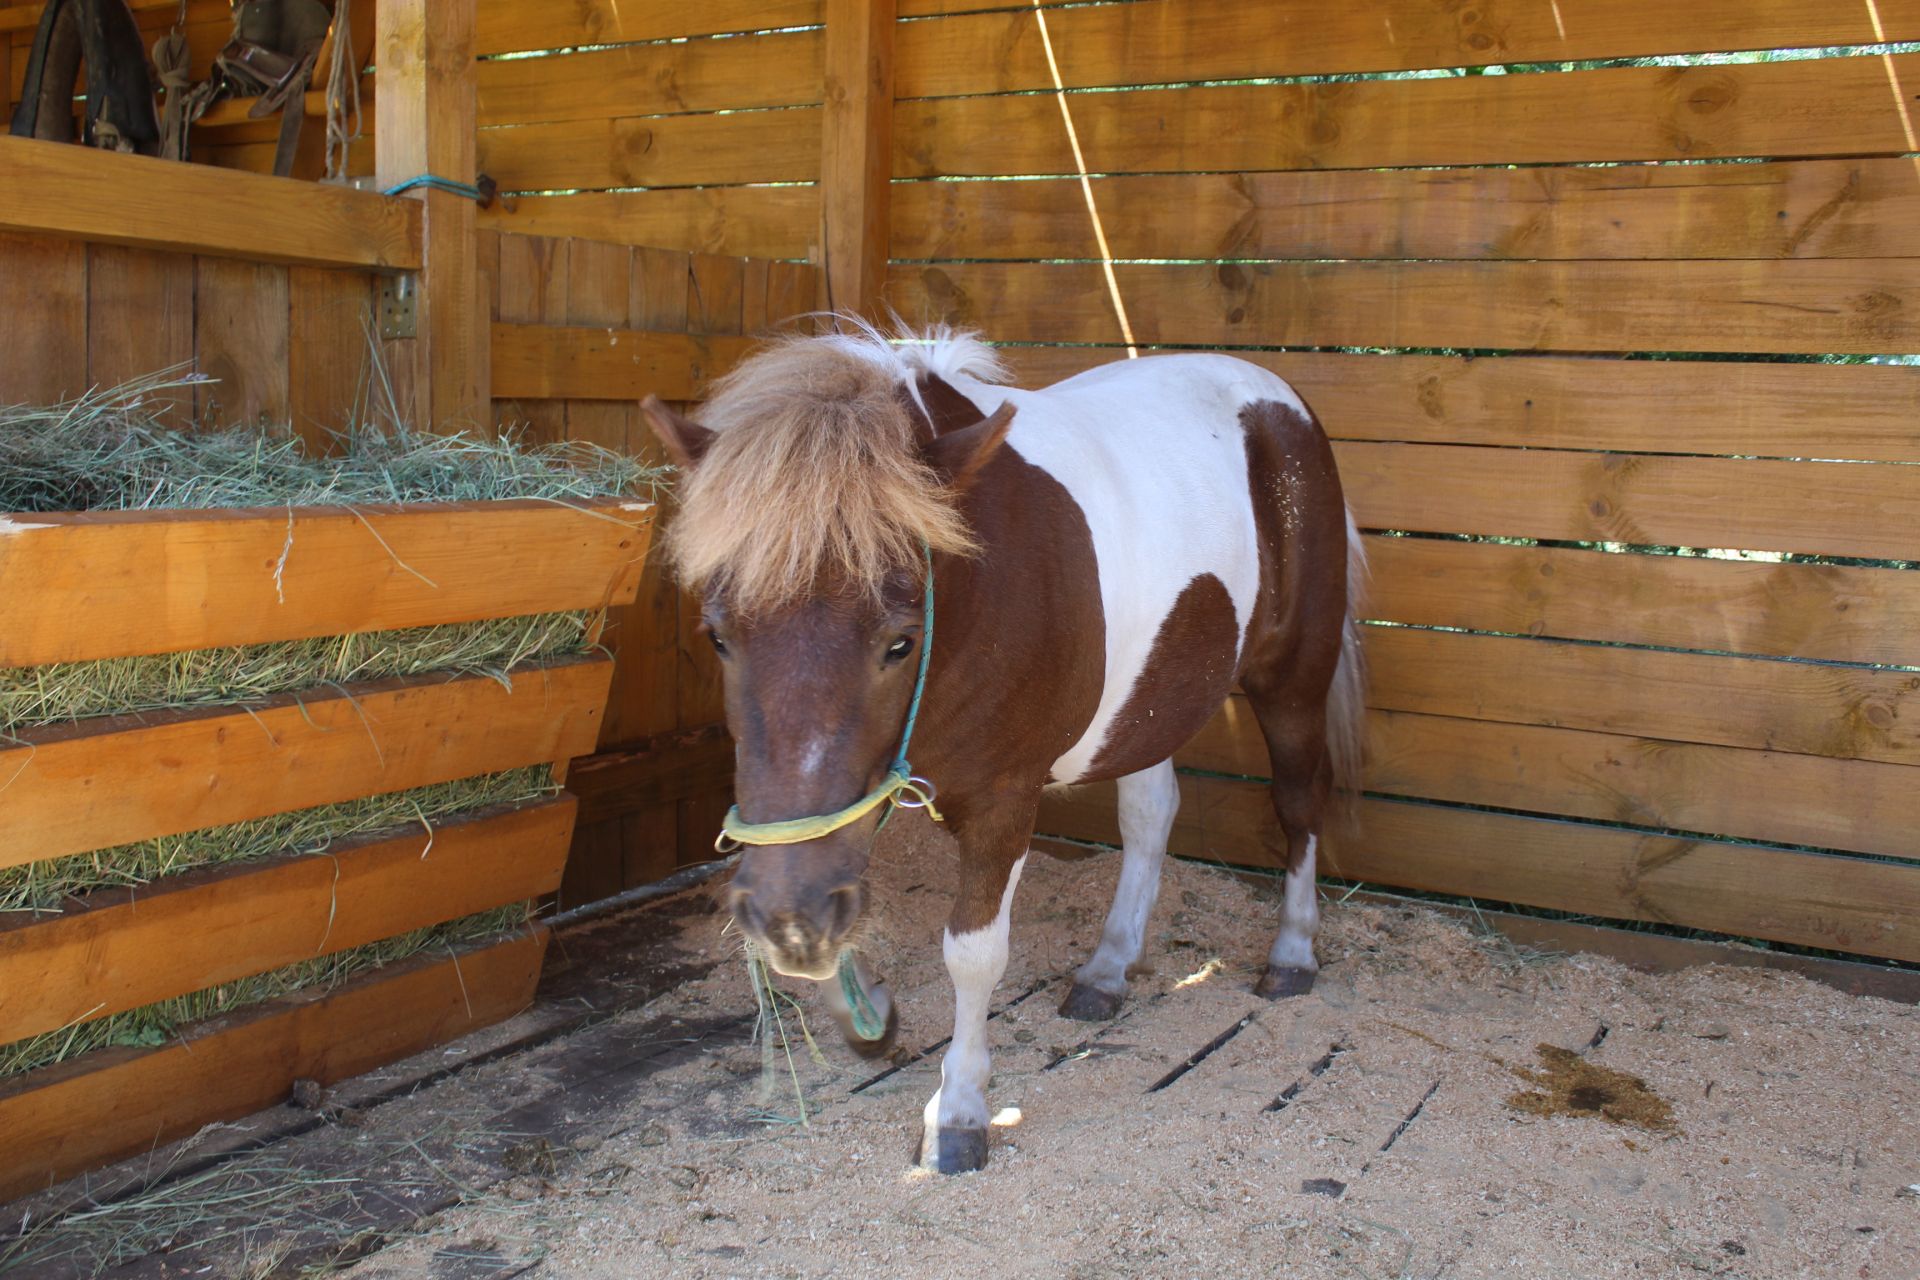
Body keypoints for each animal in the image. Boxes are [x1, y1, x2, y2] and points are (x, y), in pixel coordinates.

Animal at [645, 326, 1367, 1174]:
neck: (972, 590)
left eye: (900, 641)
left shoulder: (1001, 801)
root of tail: (1277, 398)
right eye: (719, 636)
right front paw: (869, 1011)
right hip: (1150, 698)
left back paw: (1291, 954)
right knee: (1151, 814)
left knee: (1298, 801)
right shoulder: (847, 817)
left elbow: (972, 953)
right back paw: (1108, 968)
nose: (783, 921)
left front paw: (958, 1112)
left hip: (1293, 681)